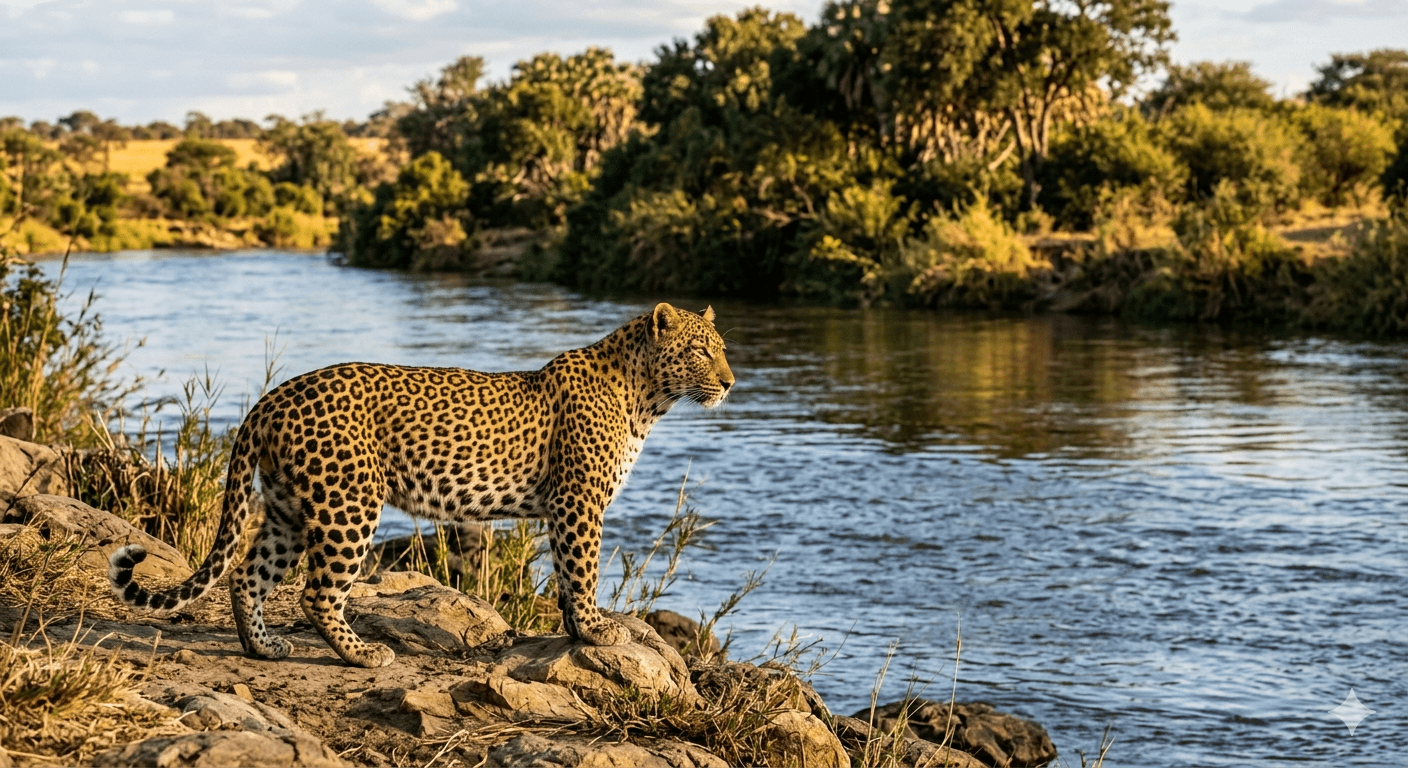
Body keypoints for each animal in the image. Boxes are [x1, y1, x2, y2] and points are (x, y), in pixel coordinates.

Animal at [108, 302, 734, 668]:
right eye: (700, 349)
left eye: (722, 348)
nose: (730, 382)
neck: (647, 396)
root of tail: (275, 396)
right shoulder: (577, 502)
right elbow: (582, 572)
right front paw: (597, 629)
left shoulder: (567, 507)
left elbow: (564, 575)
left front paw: (579, 630)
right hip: (348, 503)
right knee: (317, 593)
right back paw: (364, 654)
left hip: (288, 507)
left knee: (246, 575)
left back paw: (263, 647)